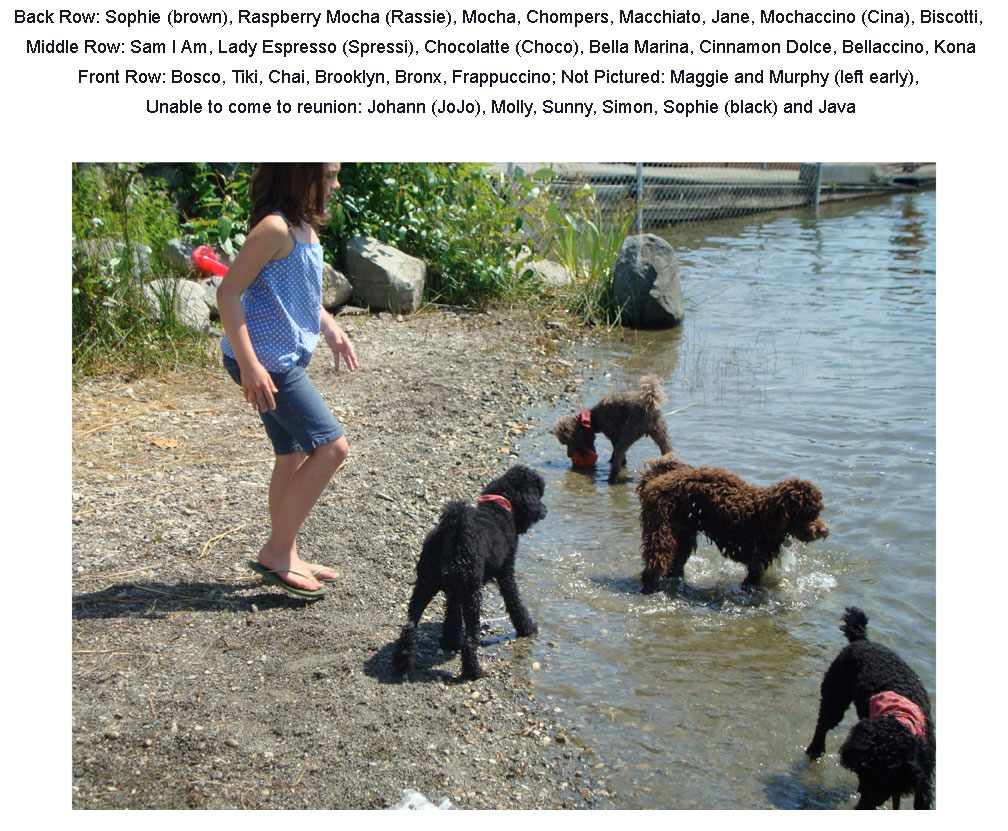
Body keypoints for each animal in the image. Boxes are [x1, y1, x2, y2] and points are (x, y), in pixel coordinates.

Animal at [392, 465, 547, 681]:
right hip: (472, 594)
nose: (544, 510)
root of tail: (454, 530)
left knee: (410, 626)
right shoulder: (506, 573)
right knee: (470, 640)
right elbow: (515, 603)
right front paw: (527, 628)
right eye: (539, 492)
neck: (500, 506)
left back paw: (402, 663)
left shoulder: (455, 591)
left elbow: (452, 615)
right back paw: (474, 671)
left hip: (426, 584)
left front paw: (449, 640)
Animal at [636, 454, 828, 592]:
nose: (825, 531)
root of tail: (653, 479)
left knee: (676, 563)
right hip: (661, 529)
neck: (766, 515)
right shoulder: (756, 561)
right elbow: (751, 581)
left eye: (819, 511)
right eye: (809, 514)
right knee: (655, 563)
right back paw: (651, 588)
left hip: (684, 534)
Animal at [806, 607, 935, 809]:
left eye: (887, 778)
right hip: (835, 695)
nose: (864, 804)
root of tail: (862, 641)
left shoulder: (924, 772)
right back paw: (815, 749)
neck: (899, 719)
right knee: (823, 724)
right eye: (863, 771)